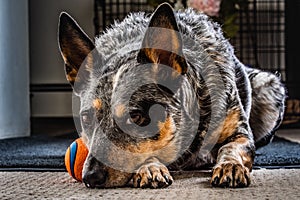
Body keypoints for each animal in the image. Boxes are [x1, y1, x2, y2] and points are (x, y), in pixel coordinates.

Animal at [58, 2, 286, 188]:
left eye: (136, 117)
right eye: (86, 118)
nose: (90, 177)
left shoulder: (240, 134)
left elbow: (230, 149)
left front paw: (230, 166)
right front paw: (150, 167)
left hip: (269, 87)